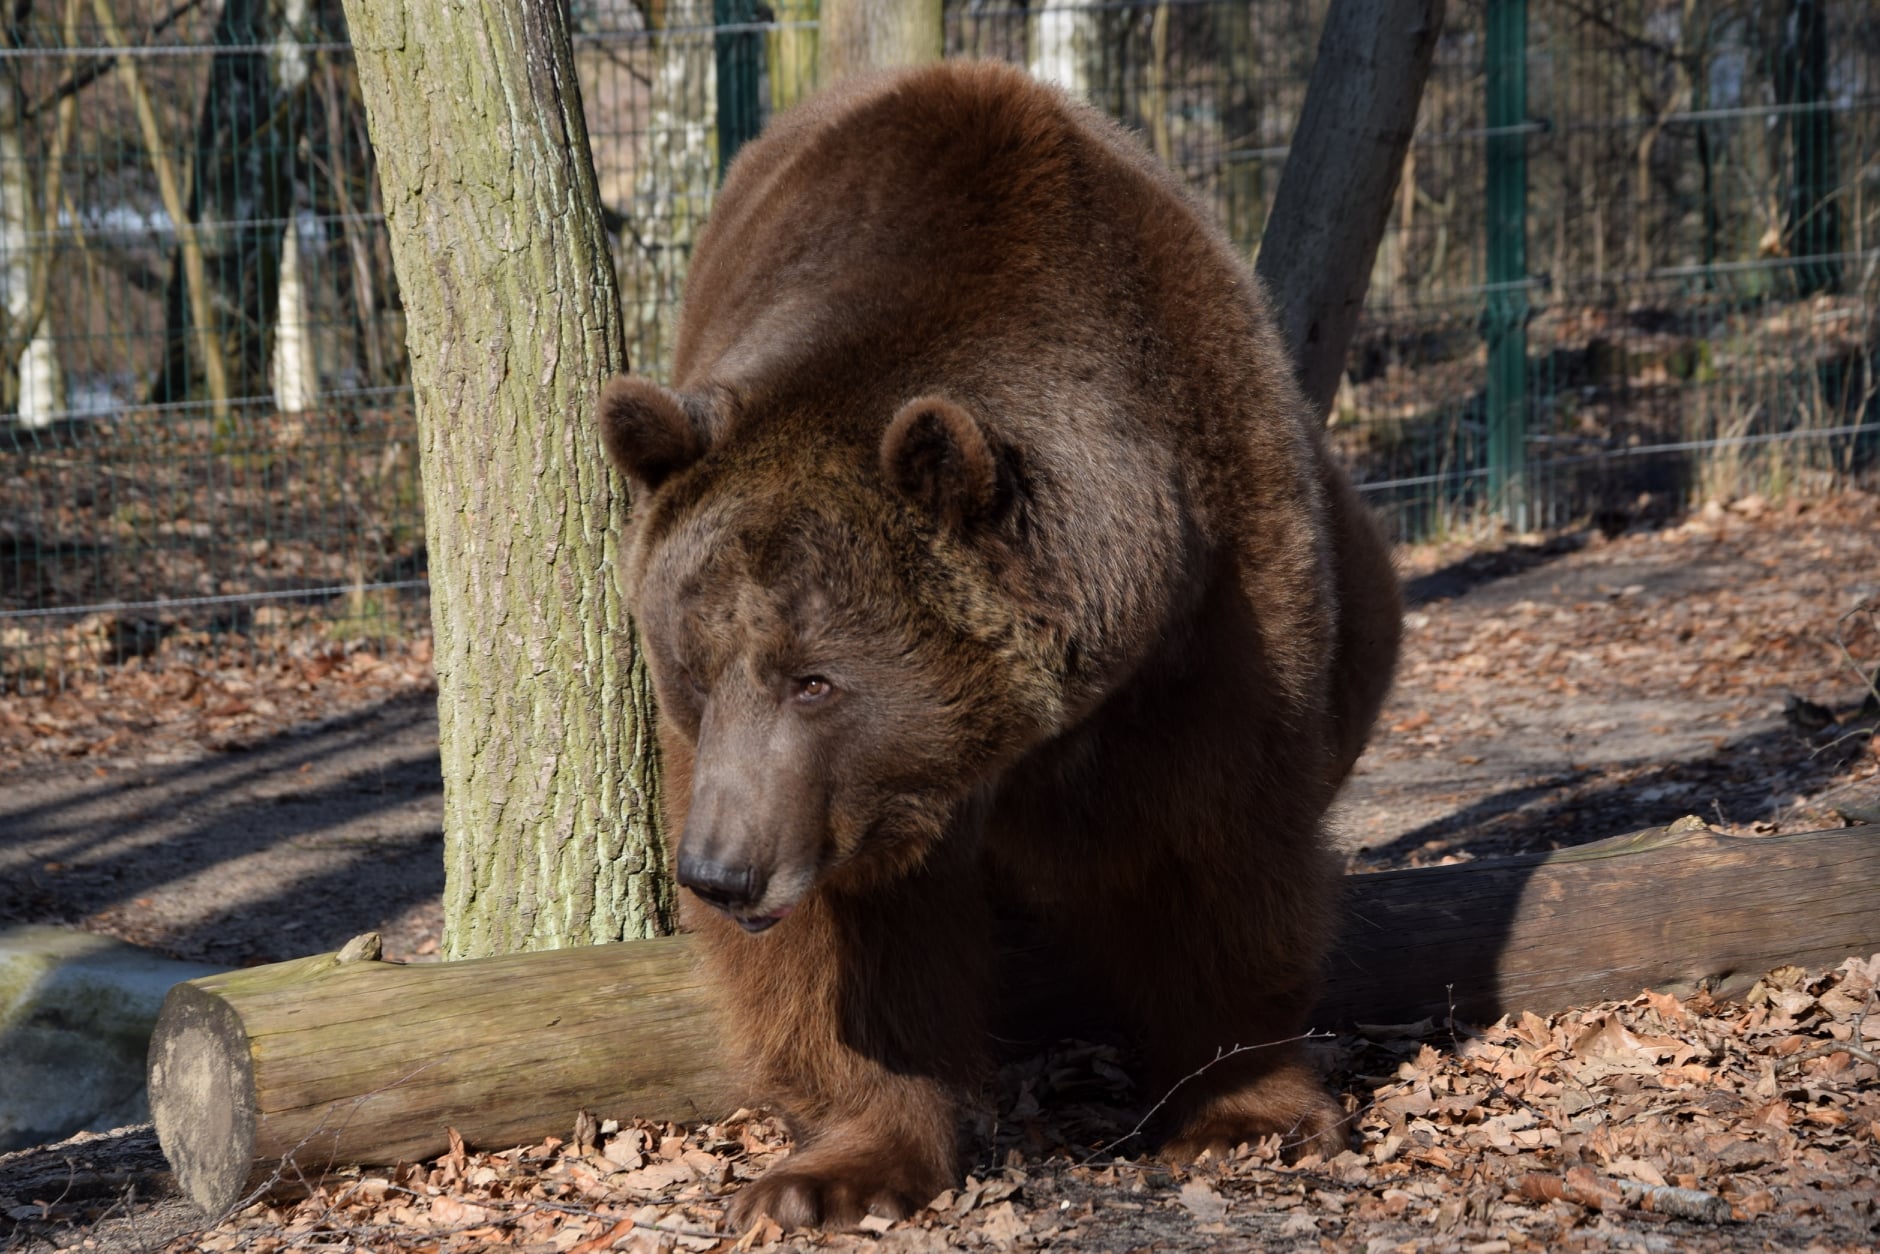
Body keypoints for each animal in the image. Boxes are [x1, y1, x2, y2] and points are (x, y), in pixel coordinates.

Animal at [597, 61, 1398, 1233]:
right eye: (694, 670)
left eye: (814, 679)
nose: (719, 873)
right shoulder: (819, 801)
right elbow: (854, 956)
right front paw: (830, 1173)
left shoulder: (1212, 606)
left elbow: (1211, 847)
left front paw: (1246, 1111)